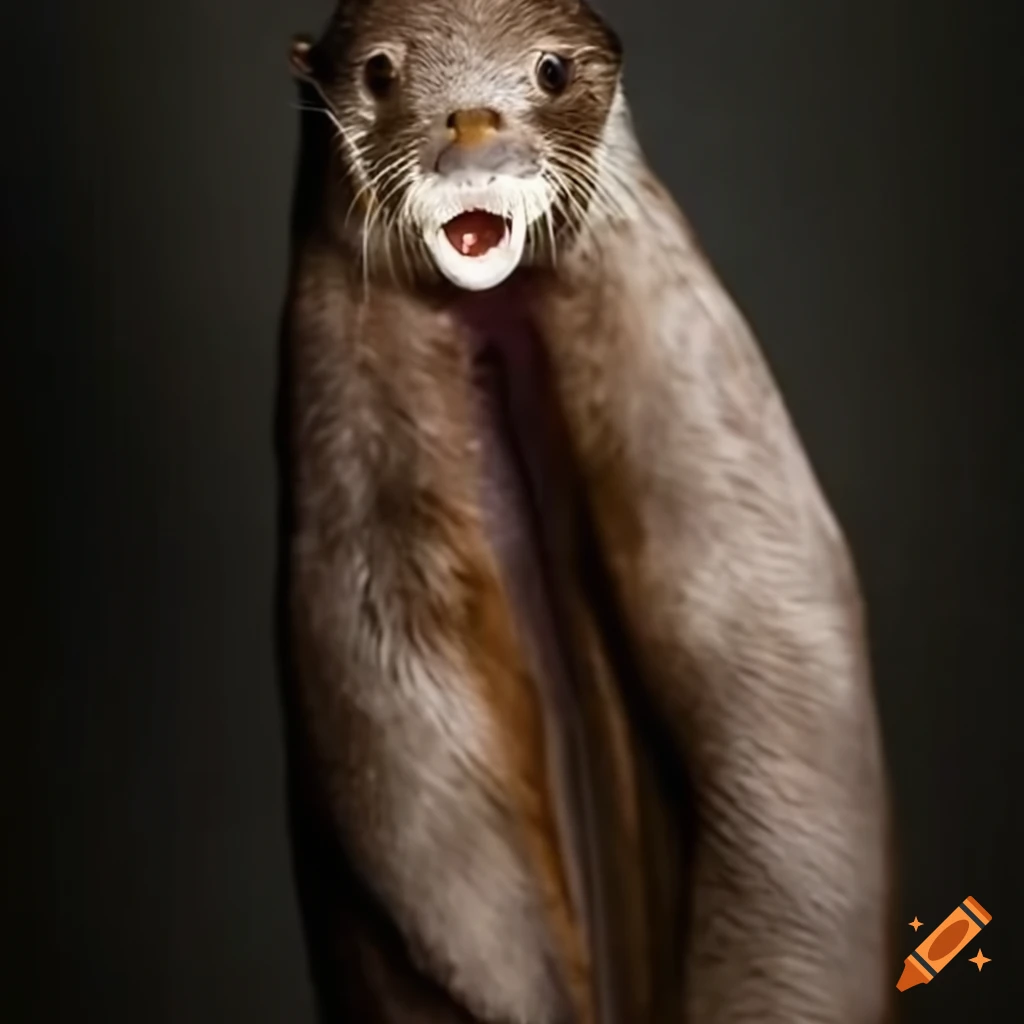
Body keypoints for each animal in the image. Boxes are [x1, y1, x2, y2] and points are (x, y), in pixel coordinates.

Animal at [276, 1, 893, 1022]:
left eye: (552, 70)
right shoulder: (356, 516)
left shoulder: (720, 441)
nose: (471, 126)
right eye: (379, 71)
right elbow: (411, 765)